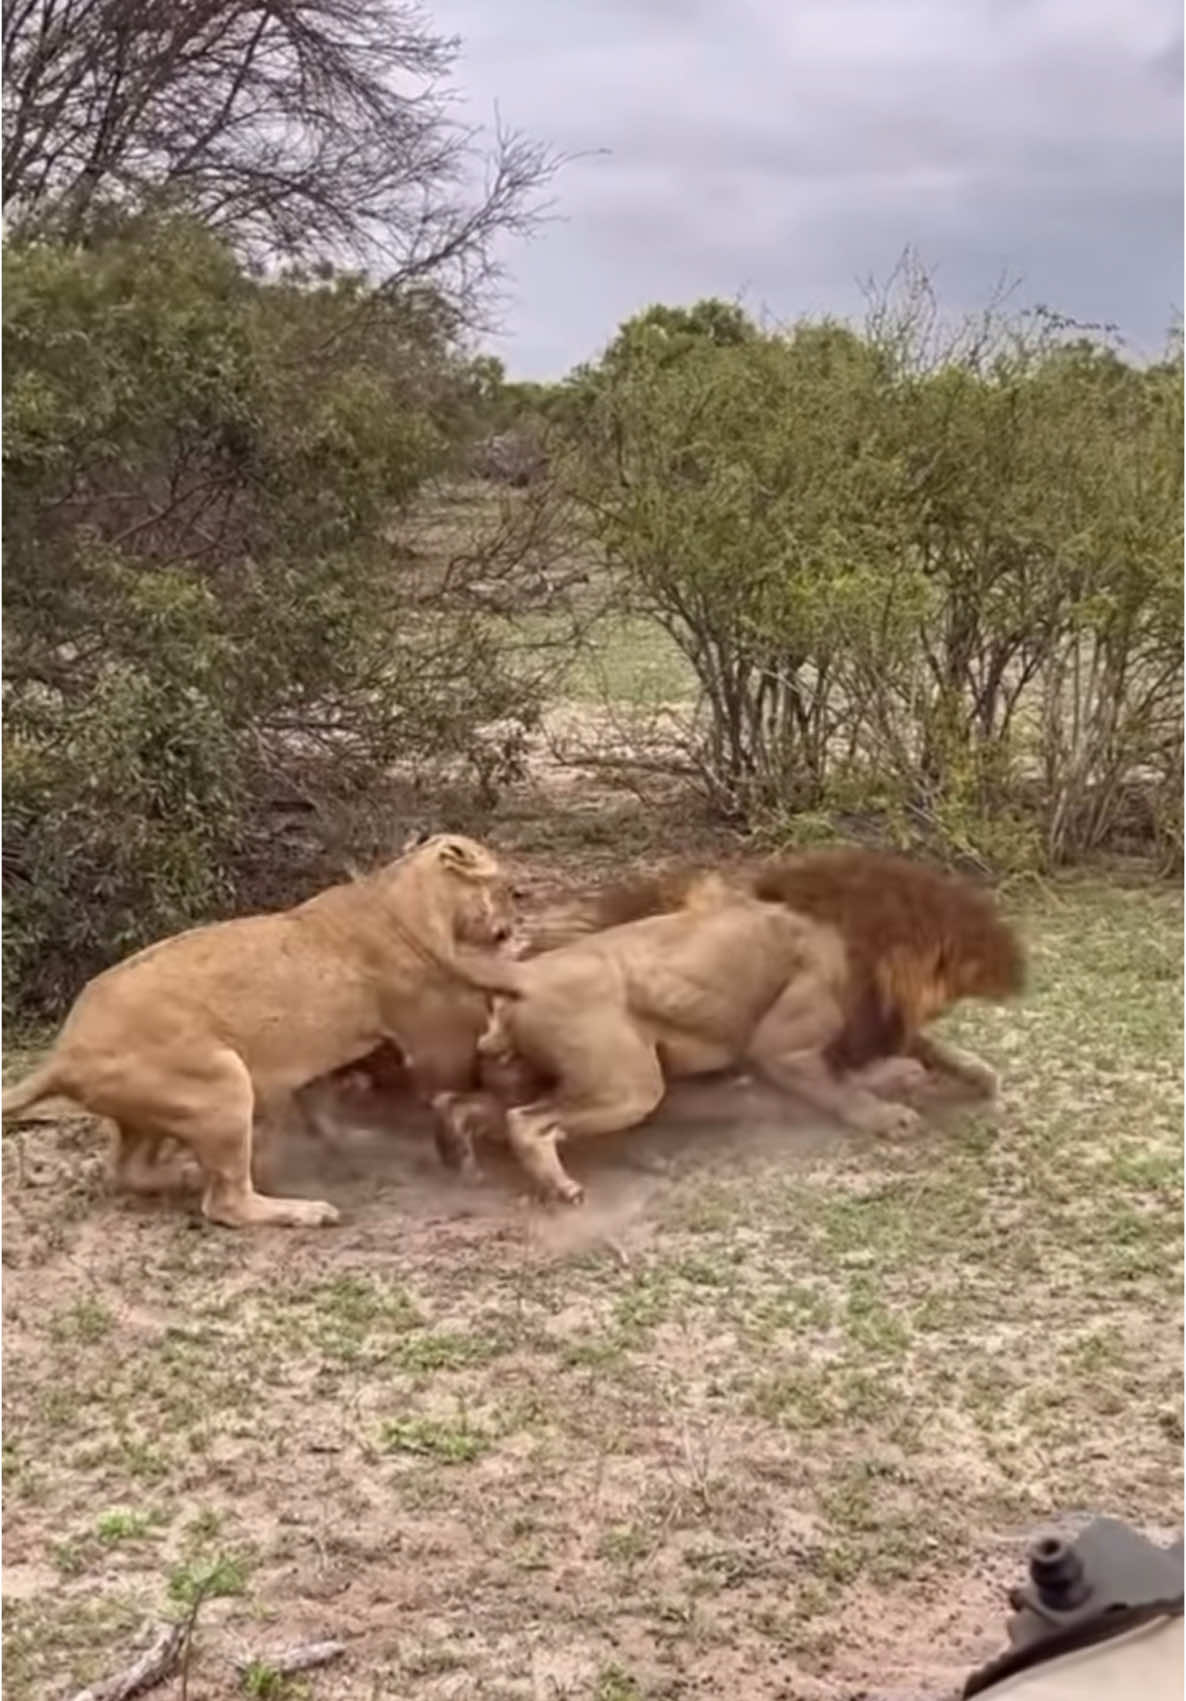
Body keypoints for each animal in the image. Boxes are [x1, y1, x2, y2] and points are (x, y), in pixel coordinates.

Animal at [2, 833, 517, 1224]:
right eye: (511, 891)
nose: (512, 926)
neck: (405, 895)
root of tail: (63, 1054)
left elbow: (322, 1108)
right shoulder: (431, 1036)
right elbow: (449, 1074)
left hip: (149, 1112)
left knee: (128, 1171)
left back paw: (188, 1175)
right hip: (222, 1083)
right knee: (224, 1203)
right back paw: (304, 1210)